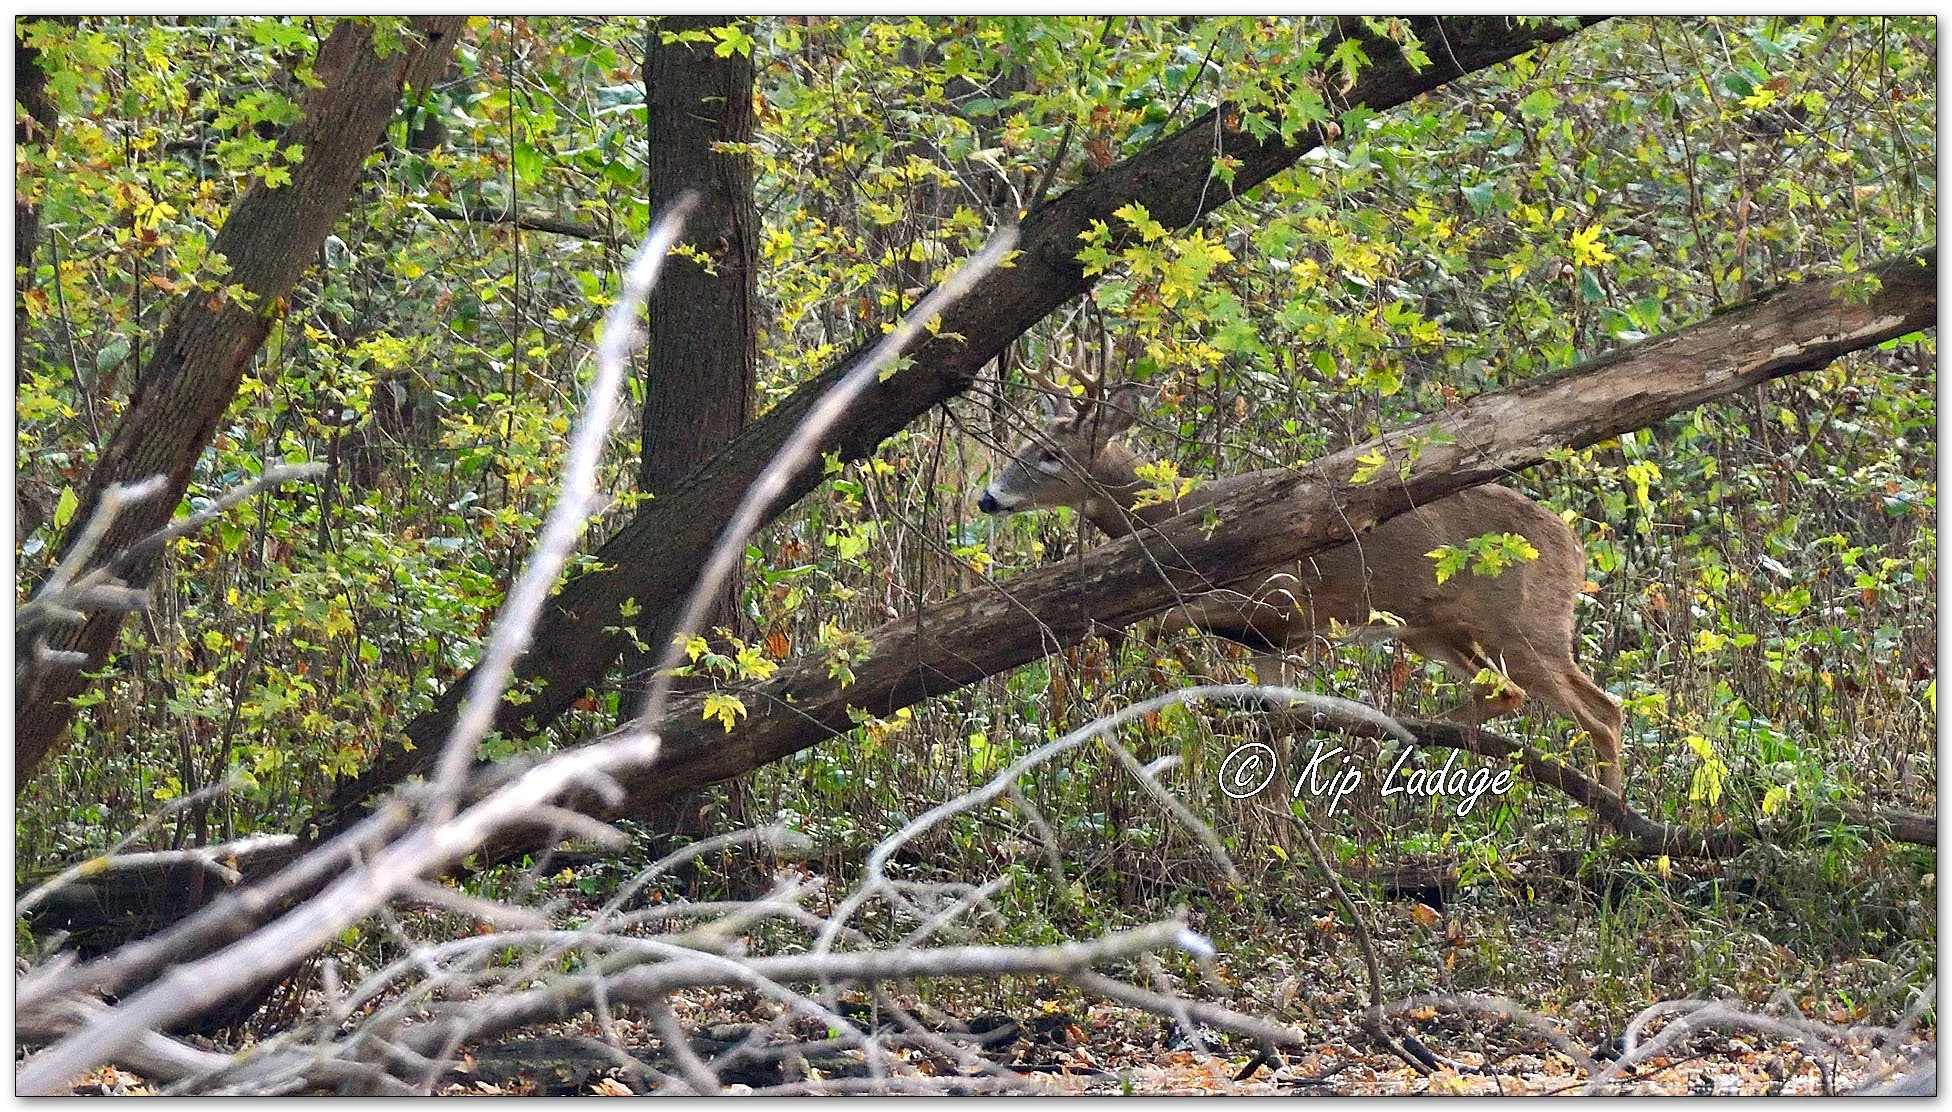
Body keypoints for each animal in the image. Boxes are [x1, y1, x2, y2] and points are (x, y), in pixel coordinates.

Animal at [977, 368, 1625, 795]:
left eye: (1051, 452)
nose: (987, 498)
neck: (1179, 516)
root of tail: (1576, 547)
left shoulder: (1281, 602)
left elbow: (1162, 623)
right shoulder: (1272, 639)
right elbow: (1277, 736)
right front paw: (1274, 832)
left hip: (1524, 623)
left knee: (1602, 711)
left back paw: (1609, 826)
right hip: (1435, 630)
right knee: (1511, 694)